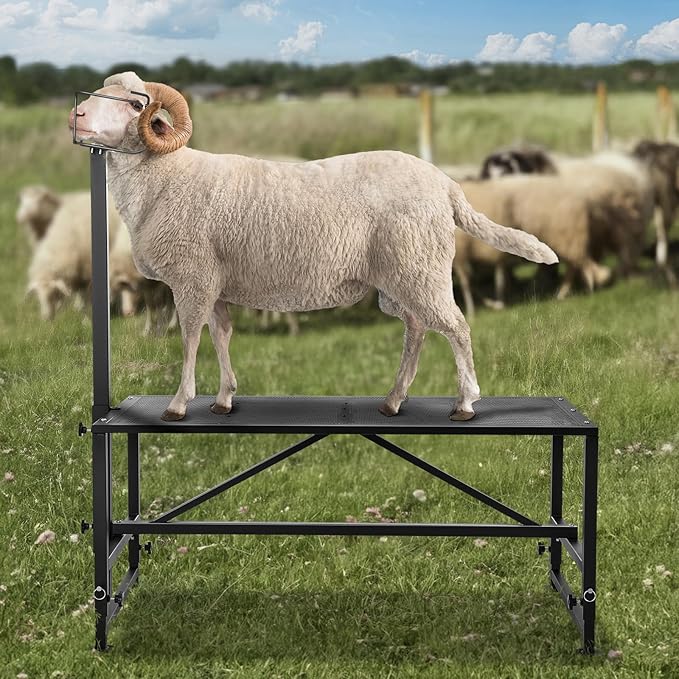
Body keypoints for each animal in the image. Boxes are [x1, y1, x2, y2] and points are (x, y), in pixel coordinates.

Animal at [27, 191, 121, 320]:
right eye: (38, 297)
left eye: (53, 294)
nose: (46, 318)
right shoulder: (77, 272)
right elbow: (79, 293)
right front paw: (79, 308)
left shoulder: (87, 271)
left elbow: (87, 294)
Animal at [70, 71, 557, 422]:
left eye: (137, 104)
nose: (76, 114)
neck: (165, 176)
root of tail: (445, 184)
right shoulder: (215, 281)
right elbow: (221, 334)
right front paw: (224, 398)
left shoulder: (193, 277)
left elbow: (191, 338)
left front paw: (178, 403)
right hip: (401, 277)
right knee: (417, 328)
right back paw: (393, 400)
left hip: (421, 267)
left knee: (456, 327)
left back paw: (465, 403)